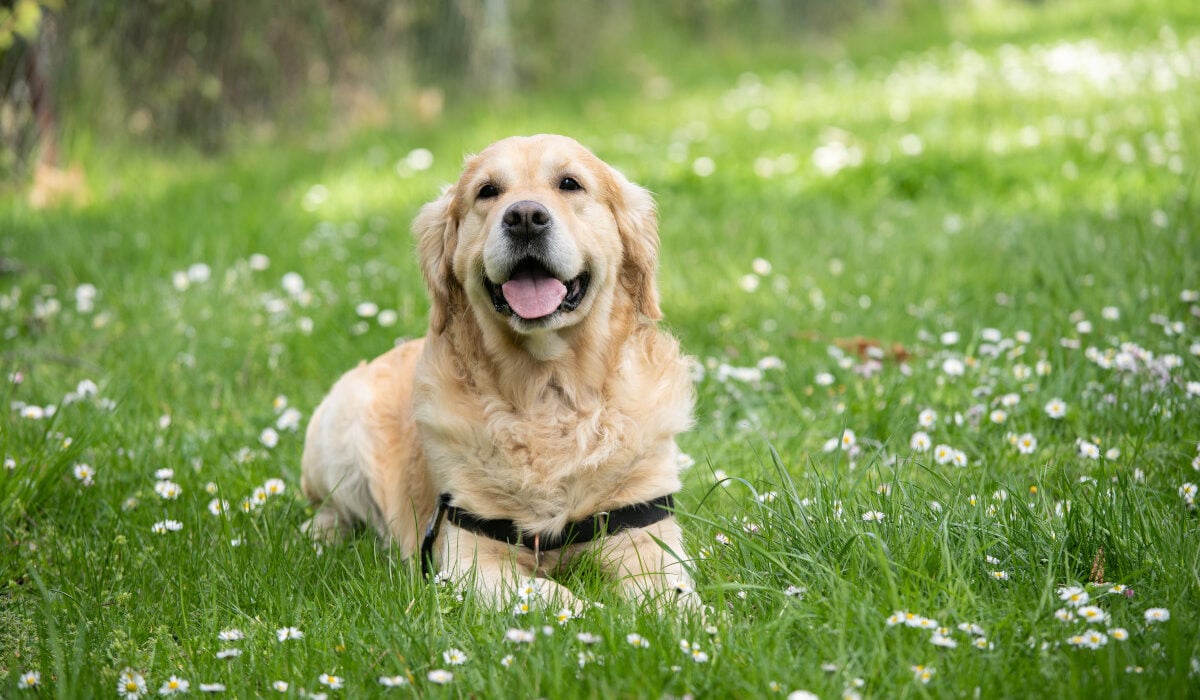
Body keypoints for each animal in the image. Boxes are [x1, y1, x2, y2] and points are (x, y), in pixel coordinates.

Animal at [296, 135, 700, 607]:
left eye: (570, 183)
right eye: (487, 191)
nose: (525, 217)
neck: (548, 392)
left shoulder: (644, 533)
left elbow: (671, 596)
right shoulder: (468, 558)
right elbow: (555, 595)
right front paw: (595, 612)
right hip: (337, 429)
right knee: (331, 508)